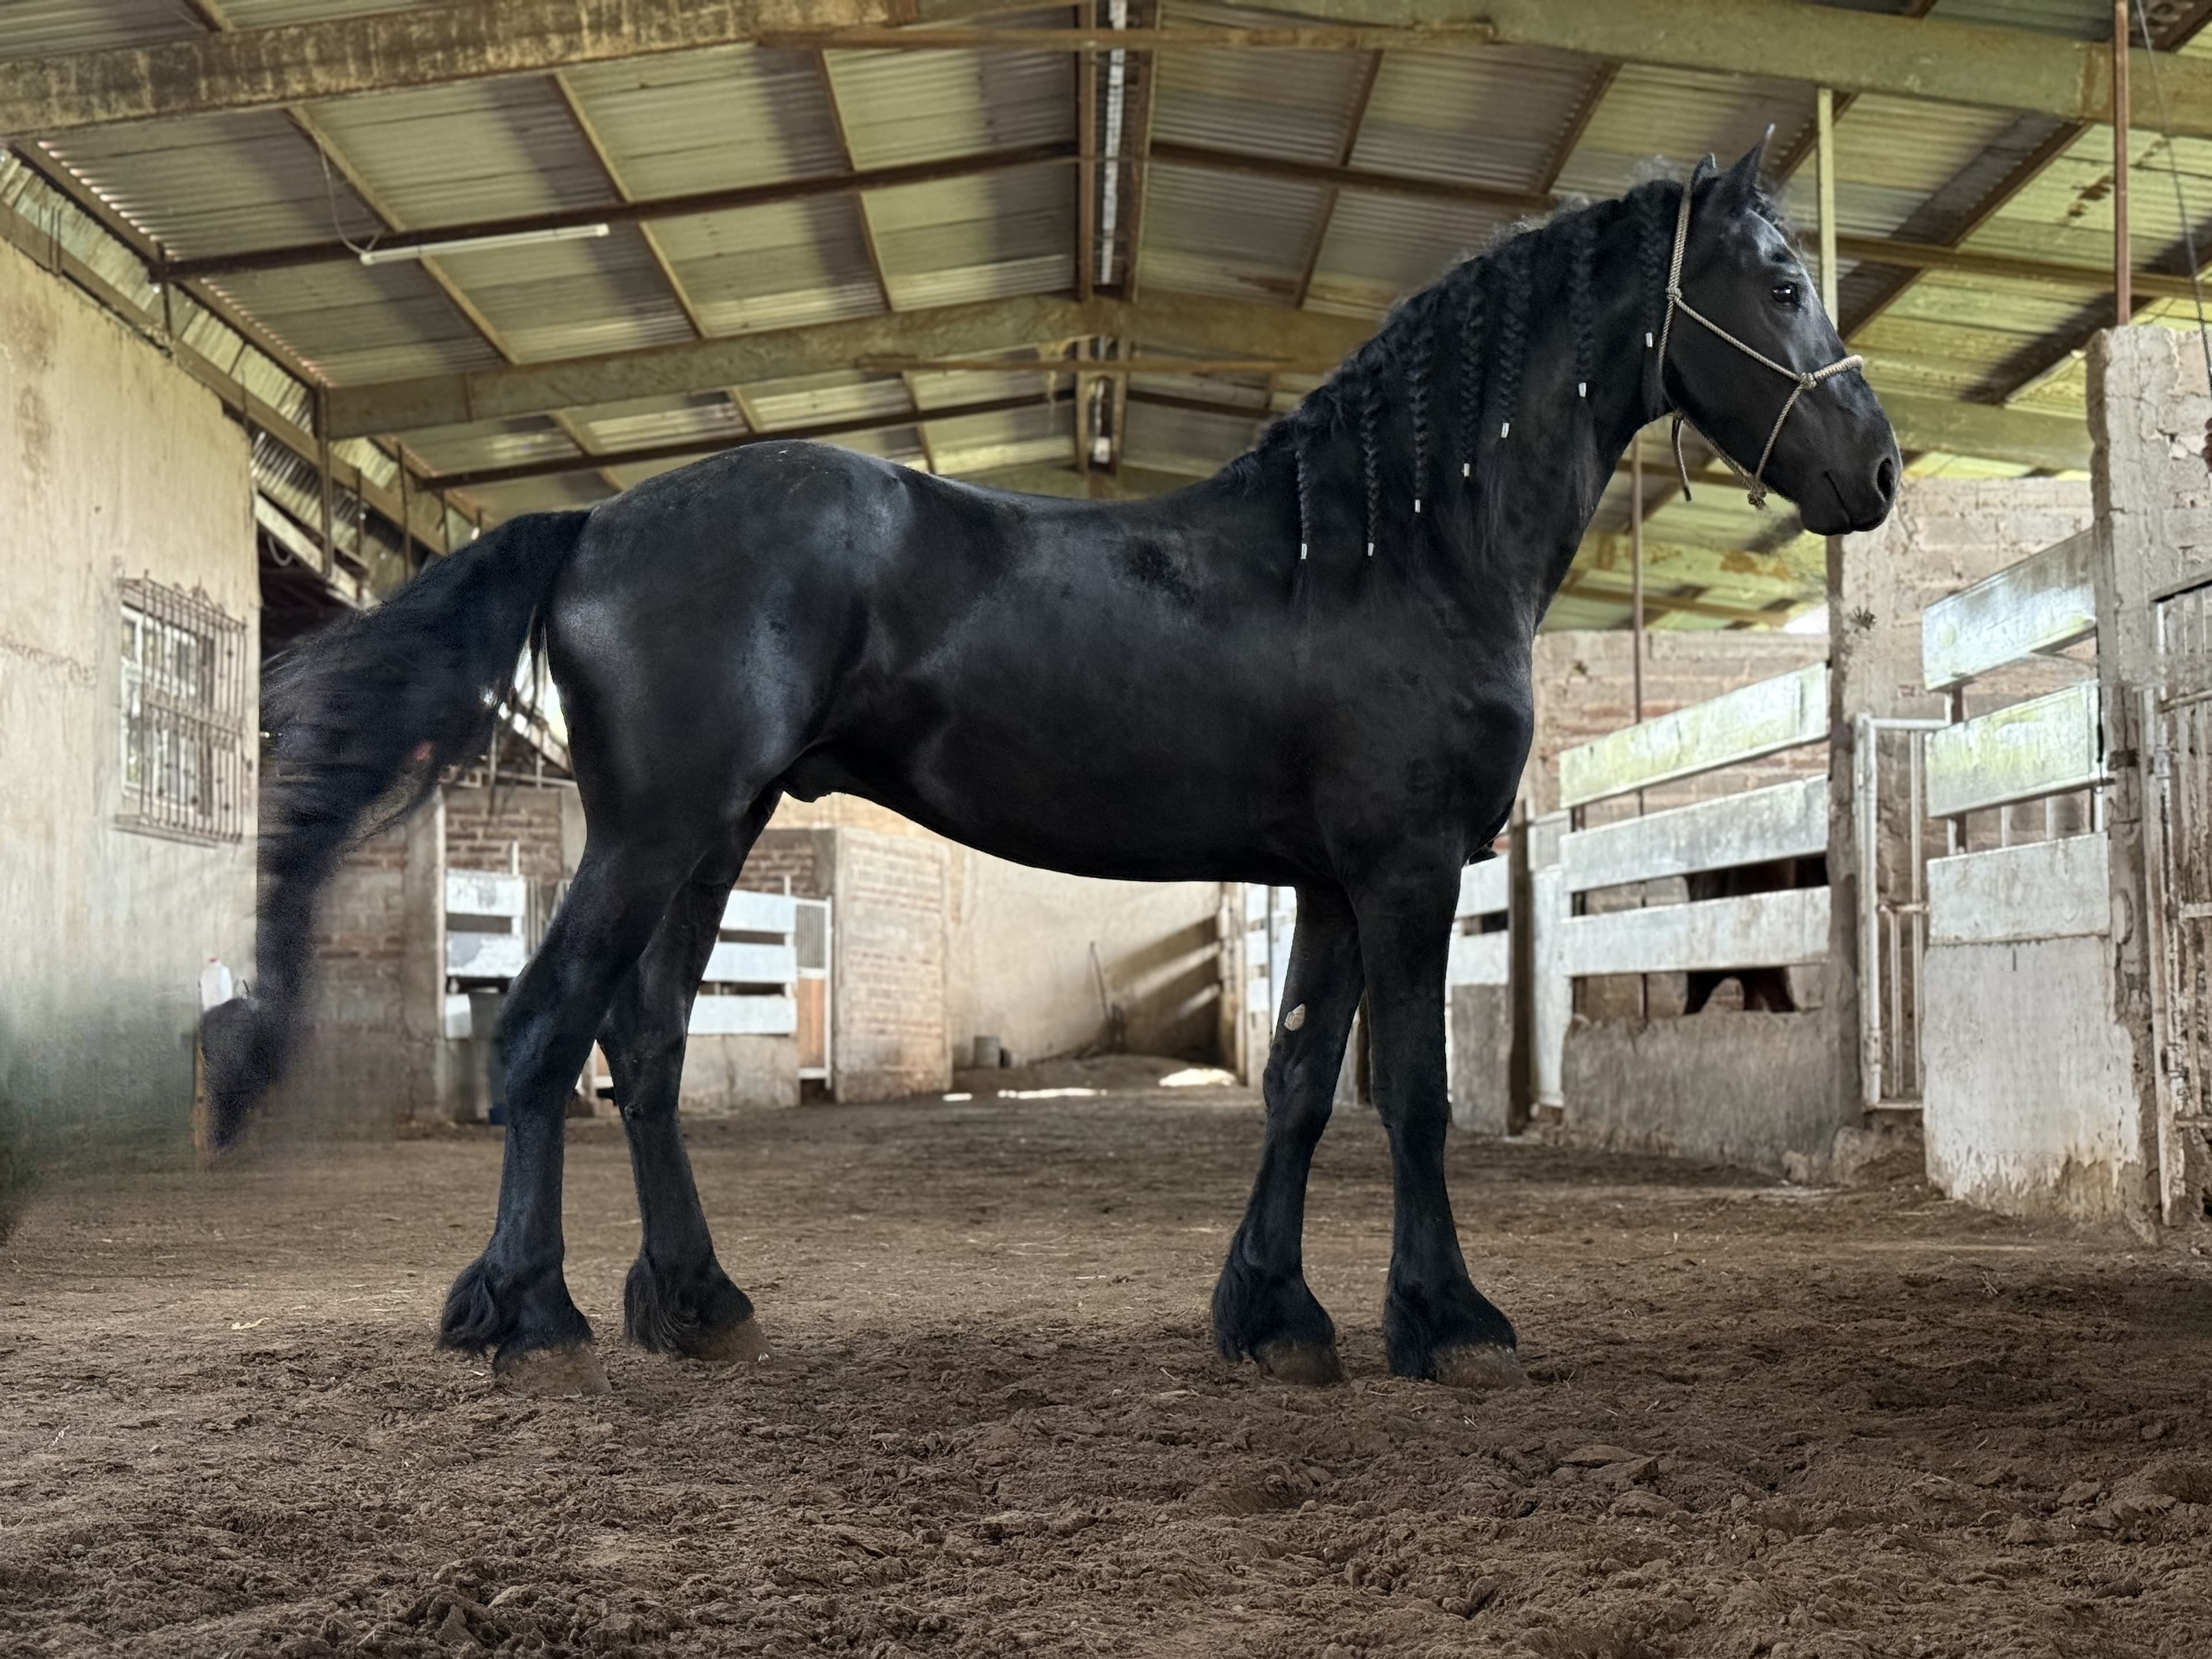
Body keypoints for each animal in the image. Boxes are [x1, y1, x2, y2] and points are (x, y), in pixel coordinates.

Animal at [203, 141, 1897, 1396]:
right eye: (1783, 279)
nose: (1877, 472)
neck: (1395, 551)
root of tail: (596, 524)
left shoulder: (1329, 883)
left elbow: (1298, 1084)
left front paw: (1273, 1319)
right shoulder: (1408, 873)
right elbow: (1412, 1094)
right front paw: (1447, 1322)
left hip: (713, 833)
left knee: (651, 1044)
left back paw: (693, 1302)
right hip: (653, 833)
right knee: (545, 1032)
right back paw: (523, 1312)